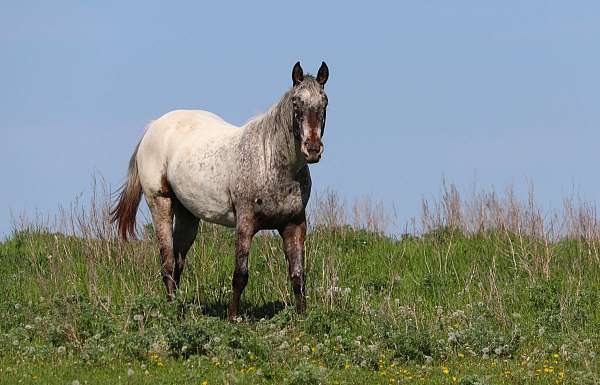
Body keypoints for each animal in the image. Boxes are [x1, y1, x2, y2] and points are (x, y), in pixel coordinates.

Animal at [110, 60, 330, 318]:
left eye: (324, 102)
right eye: (296, 102)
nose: (313, 149)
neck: (271, 161)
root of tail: (153, 127)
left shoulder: (294, 225)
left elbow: (297, 275)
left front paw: (303, 316)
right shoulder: (245, 224)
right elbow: (240, 275)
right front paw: (233, 316)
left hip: (188, 216)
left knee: (178, 261)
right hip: (161, 203)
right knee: (167, 261)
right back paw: (171, 309)